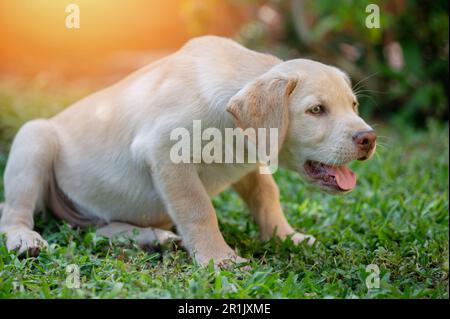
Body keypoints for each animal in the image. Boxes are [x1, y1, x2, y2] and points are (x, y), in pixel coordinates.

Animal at [0, 36, 376, 268]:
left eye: (354, 105)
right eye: (316, 110)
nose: (368, 138)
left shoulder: (249, 161)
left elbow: (267, 197)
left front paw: (286, 237)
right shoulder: (166, 153)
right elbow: (199, 209)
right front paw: (219, 259)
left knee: (94, 229)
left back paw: (154, 239)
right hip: (34, 139)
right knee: (14, 214)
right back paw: (25, 239)